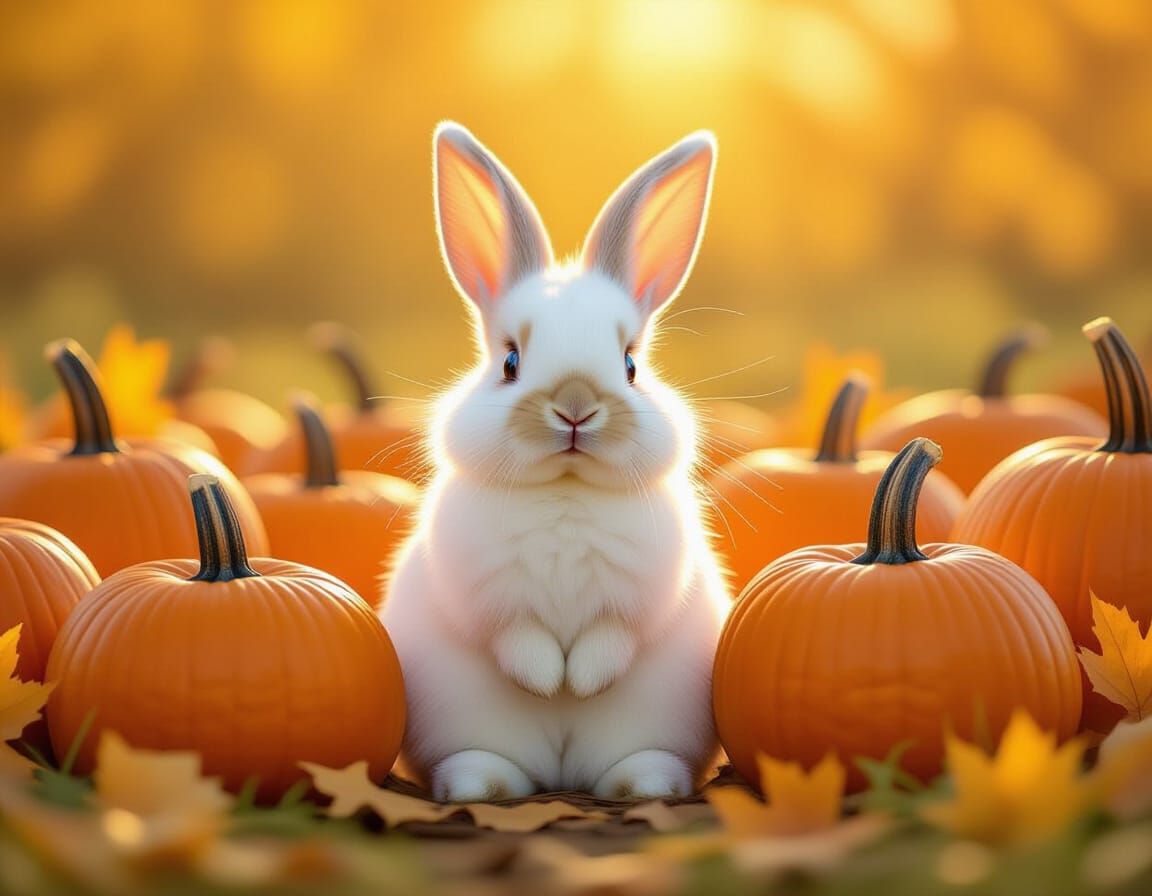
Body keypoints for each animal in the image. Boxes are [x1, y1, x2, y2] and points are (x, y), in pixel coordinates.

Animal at [380, 121, 731, 802]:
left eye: (630, 364)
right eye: (510, 362)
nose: (575, 406)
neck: (566, 489)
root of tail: (563, 776)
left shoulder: (639, 595)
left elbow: (610, 638)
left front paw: (581, 683)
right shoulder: (486, 594)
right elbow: (517, 637)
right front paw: (548, 683)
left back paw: (644, 787)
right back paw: (480, 787)